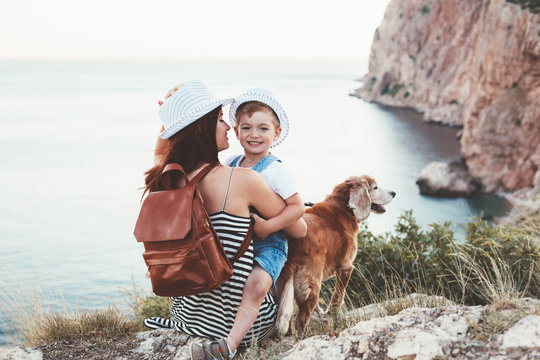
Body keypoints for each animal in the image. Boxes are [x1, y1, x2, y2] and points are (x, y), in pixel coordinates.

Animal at [276, 176, 394, 336]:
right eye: (375, 187)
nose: (394, 193)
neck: (344, 207)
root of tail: (292, 246)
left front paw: (320, 312)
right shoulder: (346, 267)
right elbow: (338, 296)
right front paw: (333, 314)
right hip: (312, 281)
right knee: (302, 318)